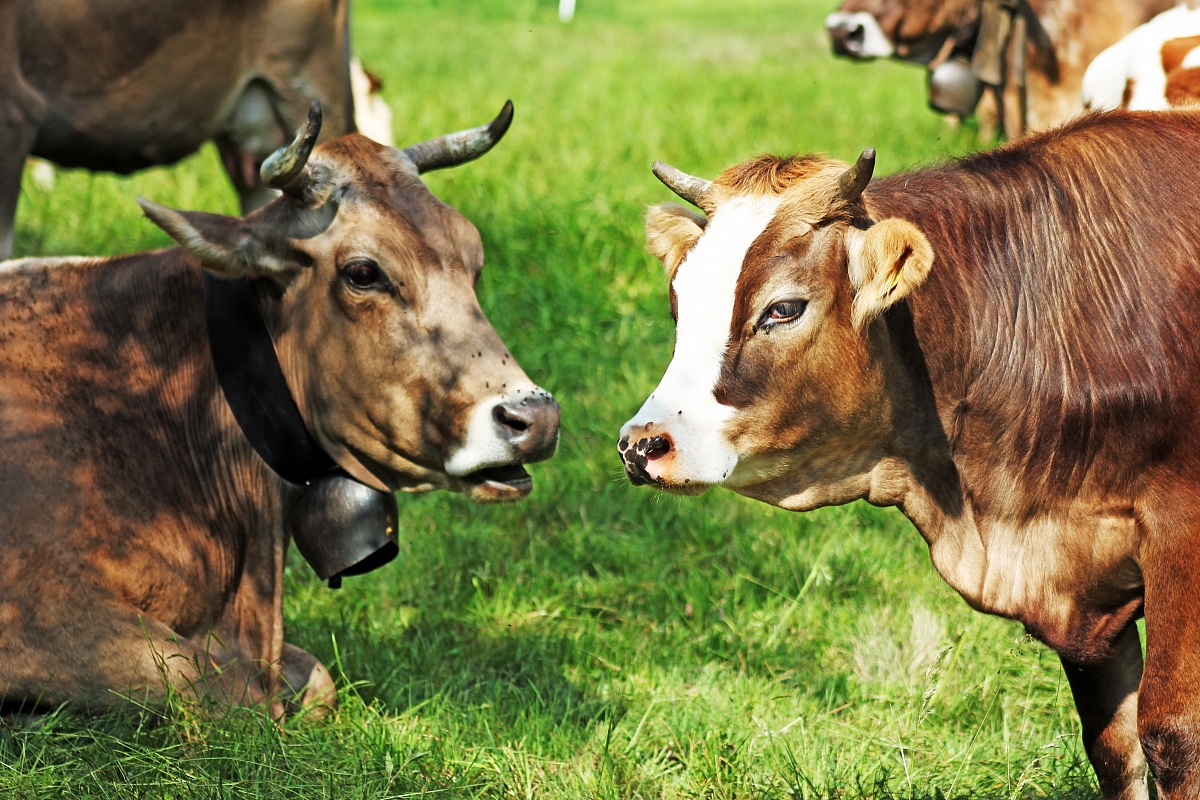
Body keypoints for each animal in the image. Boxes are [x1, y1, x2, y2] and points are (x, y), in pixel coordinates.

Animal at [0, 101, 560, 720]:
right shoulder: (41, 611)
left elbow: (315, 679)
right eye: (363, 273)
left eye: (474, 260)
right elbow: (223, 689)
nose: (536, 418)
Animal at [618, 109, 1200, 798]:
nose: (643, 443)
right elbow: (1115, 748)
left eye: (783, 308)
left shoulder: (1180, 540)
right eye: (679, 304)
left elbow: (1173, 736)